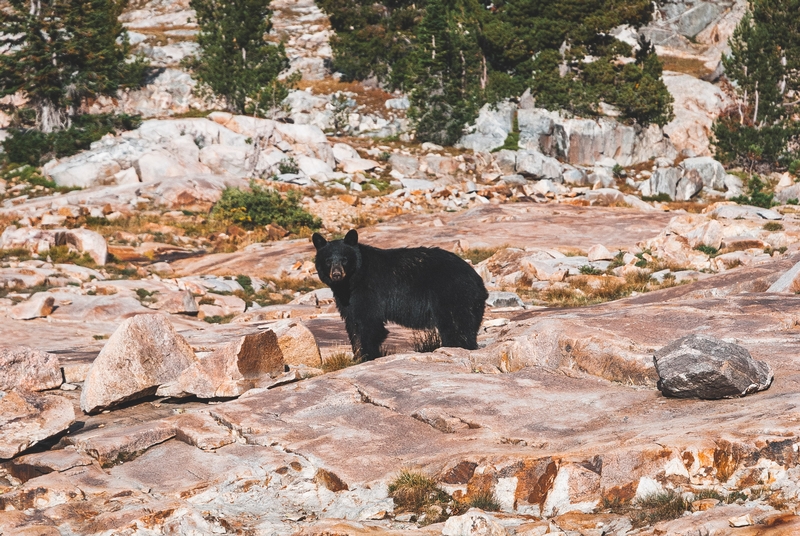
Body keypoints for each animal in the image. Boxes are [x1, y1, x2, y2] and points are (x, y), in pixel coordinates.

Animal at [310, 230, 488, 360]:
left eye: (345, 259)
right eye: (328, 260)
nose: (337, 274)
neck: (352, 281)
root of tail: (477, 279)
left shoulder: (369, 290)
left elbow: (369, 323)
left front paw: (368, 356)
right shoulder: (346, 298)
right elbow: (353, 323)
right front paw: (357, 356)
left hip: (452, 295)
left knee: (456, 326)